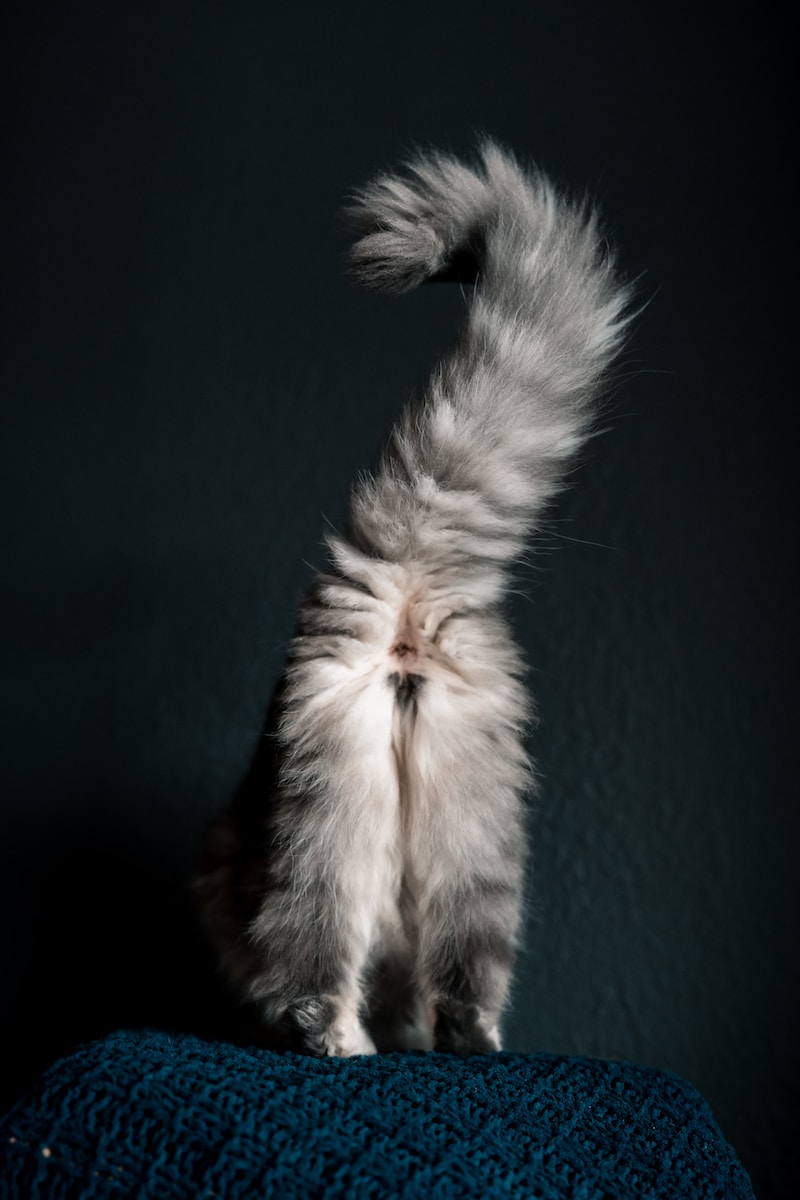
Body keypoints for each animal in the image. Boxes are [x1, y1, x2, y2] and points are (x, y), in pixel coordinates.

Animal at [195, 142, 633, 1060]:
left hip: (325, 834)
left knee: (311, 970)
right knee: (466, 974)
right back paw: (464, 1043)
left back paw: (342, 1044)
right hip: (475, 826)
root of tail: (401, 580)